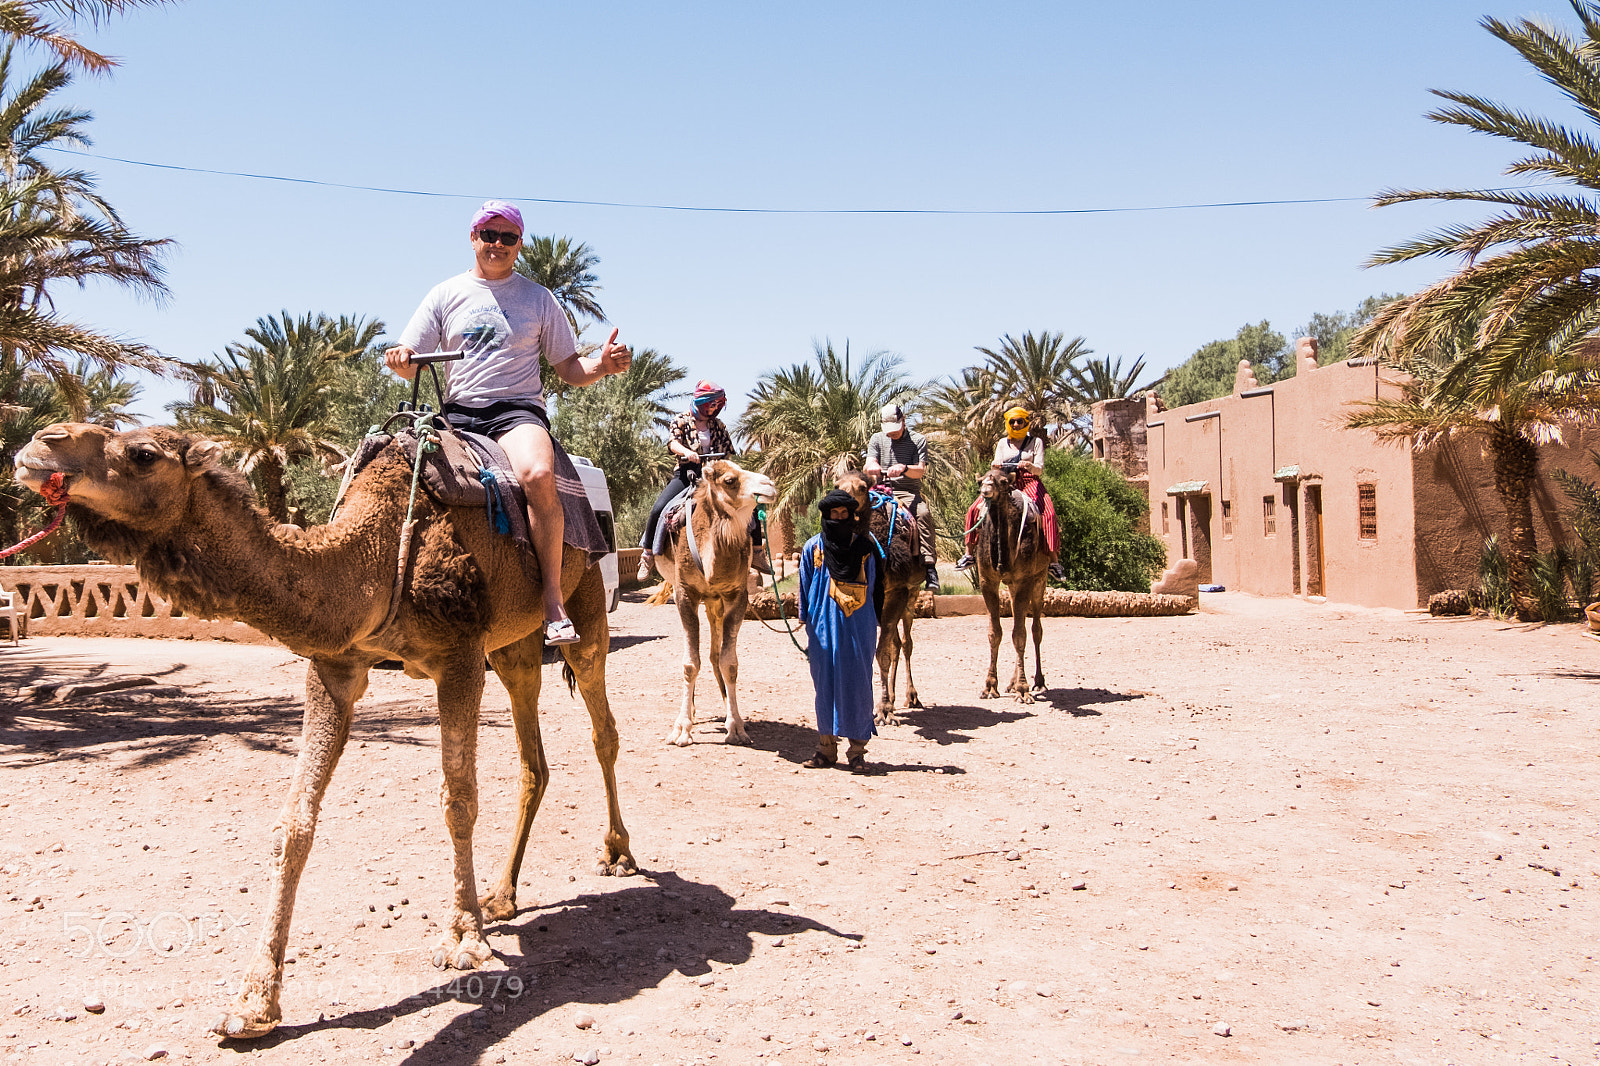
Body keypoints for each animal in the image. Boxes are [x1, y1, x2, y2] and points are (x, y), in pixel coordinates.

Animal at [14, 423, 635, 1040]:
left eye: (143, 454)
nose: (38, 444)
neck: (377, 558)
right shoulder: (335, 666)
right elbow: (295, 823)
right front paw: (253, 1002)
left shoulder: (458, 656)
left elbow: (458, 799)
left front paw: (464, 939)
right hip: (511, 643)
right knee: (533, 756)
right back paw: (502, 897)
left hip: (581, 601)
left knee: (602, 725)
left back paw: (618, 853)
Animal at [652, 458, 775, 746]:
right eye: (730, 480)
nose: (770, 484)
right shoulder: (684, 594)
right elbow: (689, 663)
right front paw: (681, 729)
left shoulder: (736, 595)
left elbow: (729, 662)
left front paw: (737, 727)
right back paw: (693, 710)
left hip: (714, 602)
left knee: (715, 654)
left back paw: (724, 702)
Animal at [835, 470, 925, 725]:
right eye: (836, 485)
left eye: (862, 487)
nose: (842, 502)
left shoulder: (898, 592)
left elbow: (882, 653)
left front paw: (884, 711)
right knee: (896, 643)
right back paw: (893, 696)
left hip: (911, 595)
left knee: (905, 643)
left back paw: (910, 696)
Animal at [974, 467, 1052, 702]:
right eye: (981, 480)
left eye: (1002, 482)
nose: (986, 490)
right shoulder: (987, 580)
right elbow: (995, 633)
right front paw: (990, 687)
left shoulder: (1025, 578)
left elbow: (1020, 634)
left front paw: (1024, 690)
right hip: (1012, 585)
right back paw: (1010, 683)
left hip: (1040, 577)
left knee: (1035, 629)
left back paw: (1038, 682)